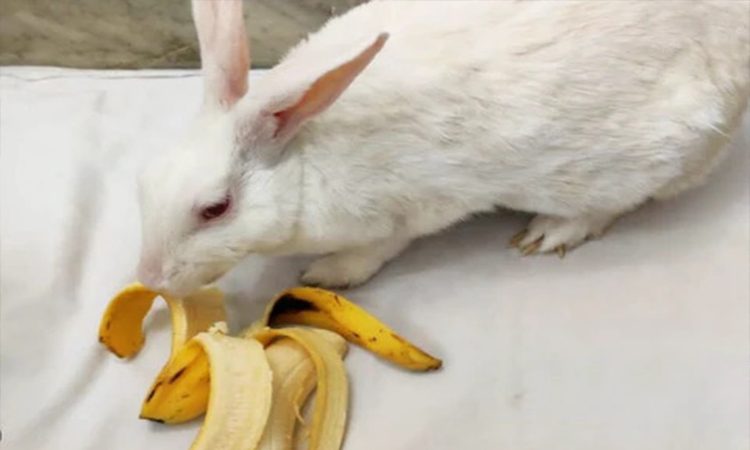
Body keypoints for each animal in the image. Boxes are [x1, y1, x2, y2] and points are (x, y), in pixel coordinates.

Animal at [138, 0, 750, 296]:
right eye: (148, 184)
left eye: (215, 209)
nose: (149, 279)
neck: (306, 155)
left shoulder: (407, 213)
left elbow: (378, 250)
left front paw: (325, 275)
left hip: (648, 157)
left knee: (612, 205)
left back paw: (549, 233)